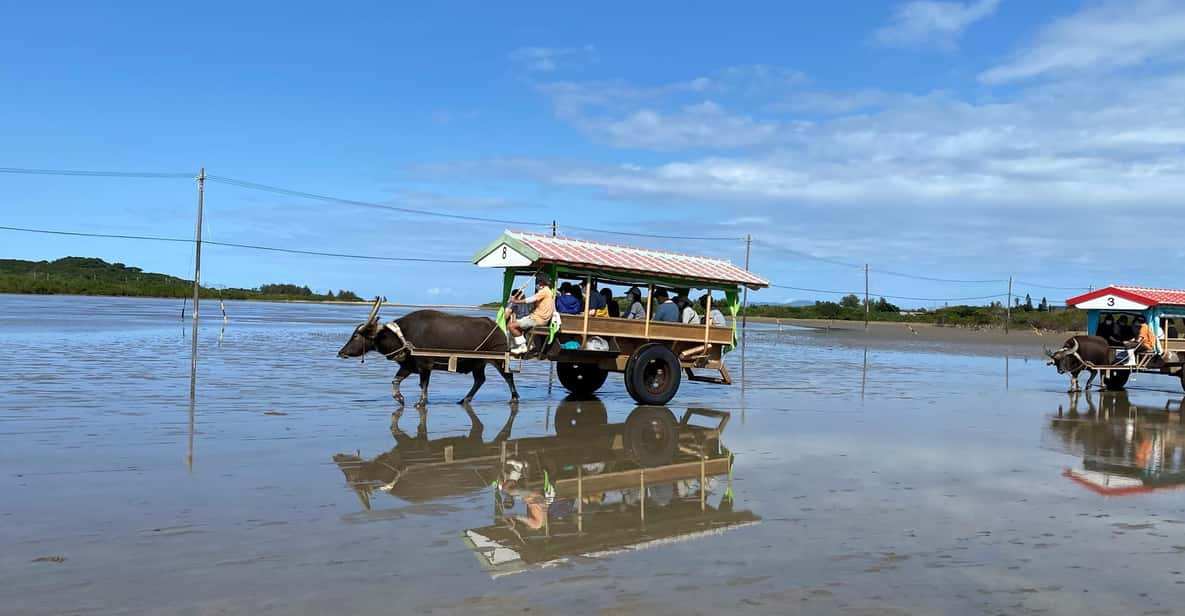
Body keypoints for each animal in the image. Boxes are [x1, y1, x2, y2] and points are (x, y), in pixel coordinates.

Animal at [334, 299, 519, 409]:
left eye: (356, 336)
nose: (341, 352)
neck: (403, 337)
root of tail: (498, 329)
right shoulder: (408, 366)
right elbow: (395, 381)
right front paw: (400, 398)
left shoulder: (425, 366)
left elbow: (423, 385)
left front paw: (420, 402)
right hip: (478, 364)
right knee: (480, 380)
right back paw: (464, 400)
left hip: (499, 359)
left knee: (508, 376)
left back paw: (514, 398)